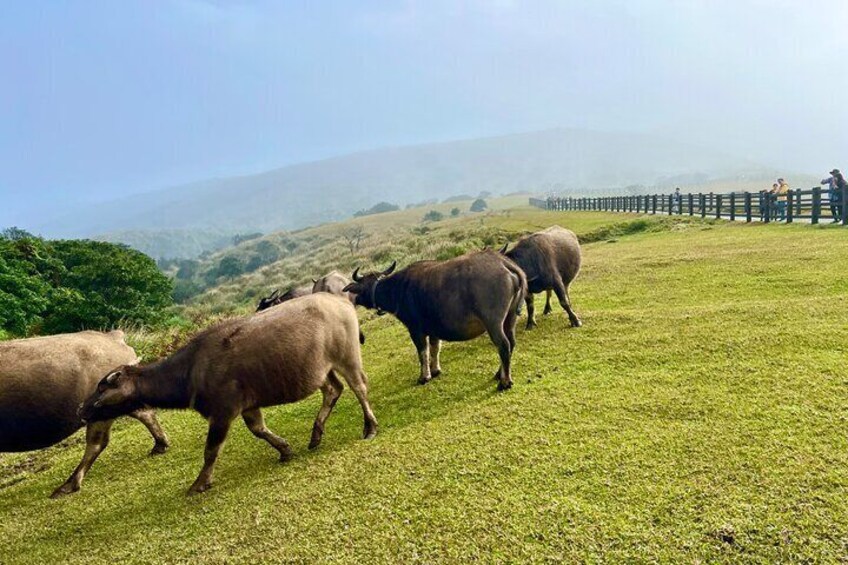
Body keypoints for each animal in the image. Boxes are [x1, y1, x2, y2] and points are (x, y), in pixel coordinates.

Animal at [0, 330, 171, 498]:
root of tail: (112, 336)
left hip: (102, 413)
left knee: (96, 443)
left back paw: (69, 485)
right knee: (145, 413)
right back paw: (160, 445)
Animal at [79, 294, 378, 496]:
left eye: (102, 387)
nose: (81, 409)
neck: (191, 370)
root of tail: (338, 300)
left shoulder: (223, 412)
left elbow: (211, 450)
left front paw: (200, 482)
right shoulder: (248, 406)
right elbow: (259, 429)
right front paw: (284, 449)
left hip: (347, 357)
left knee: (359, 387)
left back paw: (370, 426)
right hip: (321, 369)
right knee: (333, 390)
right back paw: (316, 434)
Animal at [342, 250, 524, 388]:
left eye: (361, 288)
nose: (356, 300)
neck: (398, 289)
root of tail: (503, 263)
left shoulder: (415, 330)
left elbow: (423, 351)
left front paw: (424, 376)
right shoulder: (434, 329)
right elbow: (435, 348)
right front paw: (435, 370)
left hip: (493, 323)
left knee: (503, 345)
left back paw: (505, 382)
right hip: (510, 318)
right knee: (512, 342)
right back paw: (499, 374)